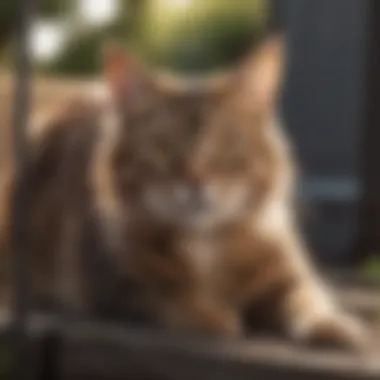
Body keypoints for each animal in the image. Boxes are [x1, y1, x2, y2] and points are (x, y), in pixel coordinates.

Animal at [4, 34, 366, 348]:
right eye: (163, 146)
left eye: (227, 143)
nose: (195, 181)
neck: (206, 242)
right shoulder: (114, 281)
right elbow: (169, 292)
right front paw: (211, 316)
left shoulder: (289, 270)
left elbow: (308, 299)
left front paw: (335, 324)